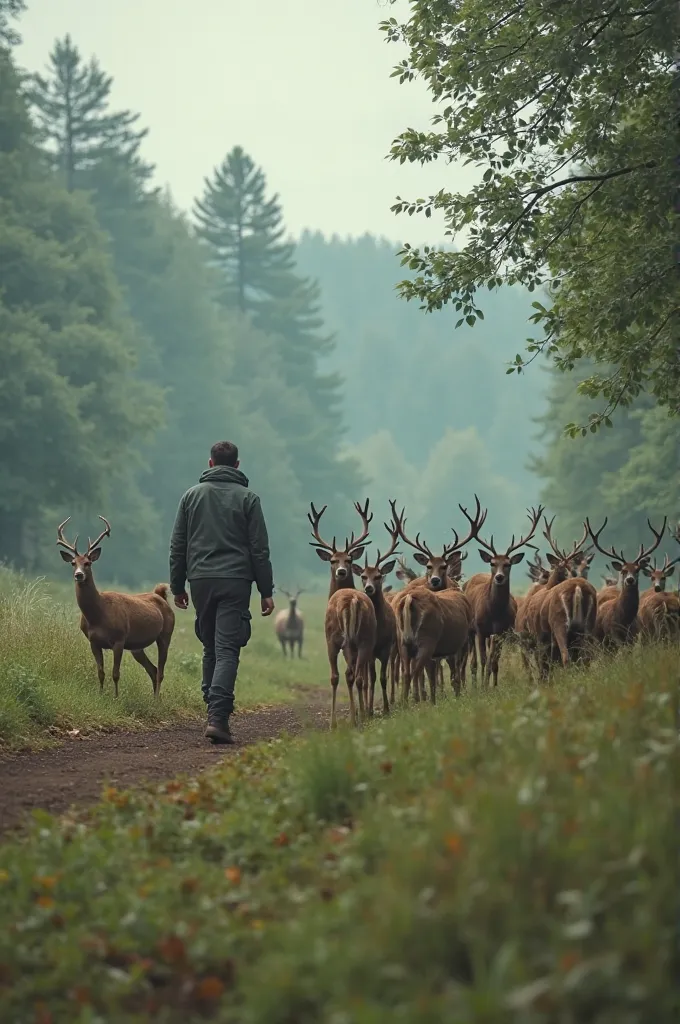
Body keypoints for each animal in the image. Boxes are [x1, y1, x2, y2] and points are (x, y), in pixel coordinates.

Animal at [56, 520, 174, 696]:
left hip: (166, 634)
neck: (98, 615)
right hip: (137, 647)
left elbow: (116, 673)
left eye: (88, 563)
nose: (78, 575)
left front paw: (116, 697)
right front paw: (100, 694)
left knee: (160, 671)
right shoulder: (93, 641)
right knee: (152, 670)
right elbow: (100, 672)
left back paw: (157, 699)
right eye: (73, 563)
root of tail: (161, 596)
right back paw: (154, 698)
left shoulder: (119, 639)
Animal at [309, 501, 376, 729]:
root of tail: (352, 600)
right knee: (358, 676)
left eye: (348, 558)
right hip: (364, 639)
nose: (341, 571)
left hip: (339, 638)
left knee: (342, 675)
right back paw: (360, 718)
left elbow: (335, 677)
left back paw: (348, 721)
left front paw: (334, 722)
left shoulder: (330, 639)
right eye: (332, 560)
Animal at [458, 503, 544, 688]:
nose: (499, 577)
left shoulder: (502, 631)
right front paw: (482, 687)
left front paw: (493, 686)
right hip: (470, 630)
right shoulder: (480, 629)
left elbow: (494, 662)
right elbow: (483, 660)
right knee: (473, 661)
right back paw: (474, 685)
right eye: (492, 563)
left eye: (508, 564)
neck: (494, 613)